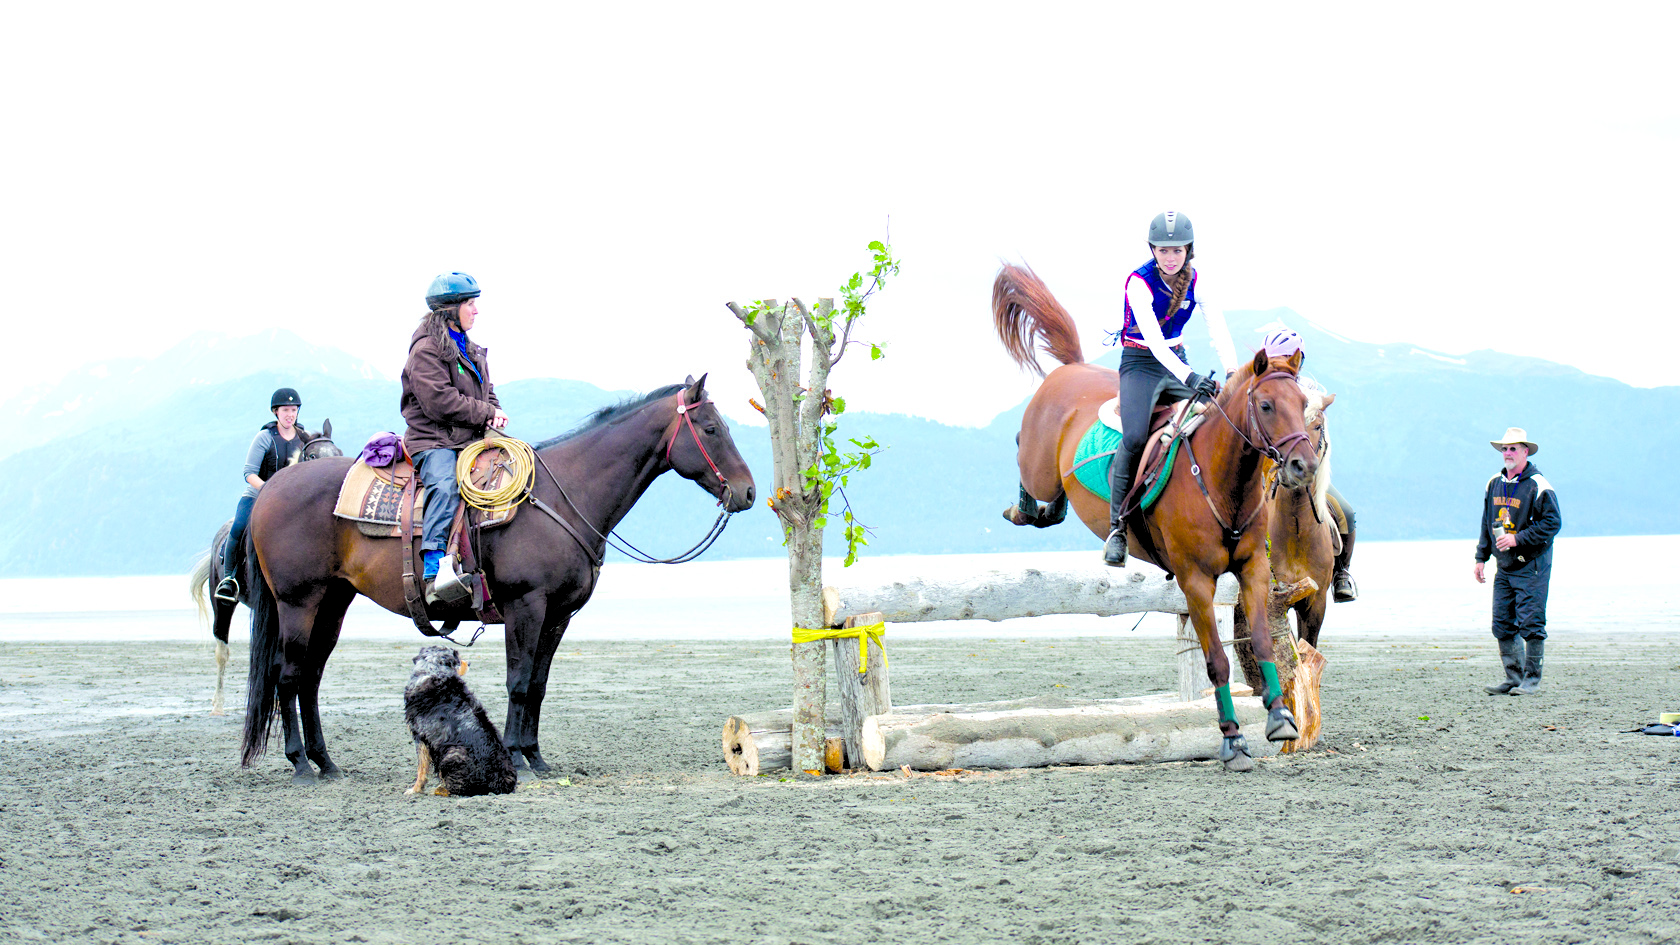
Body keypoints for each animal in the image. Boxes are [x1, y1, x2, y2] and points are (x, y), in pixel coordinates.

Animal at [403, 642, 514, 790]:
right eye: (457, 658)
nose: (469, 663)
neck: (433, 670)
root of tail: (501, 779)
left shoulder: (420, 736)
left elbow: (421, 768)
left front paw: (415, 790)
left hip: (451, 754)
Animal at [987, 262, 1317, 766]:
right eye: (1265, 406)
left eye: (1302, 405)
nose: (1304, 466)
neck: (1223, 482)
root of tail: (1071, 368)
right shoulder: (1194, 580)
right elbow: (1216, 661)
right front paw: (1232, 739)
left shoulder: (1253, 569)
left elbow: (1261, 640)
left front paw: (1280, 716)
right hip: (1039, 465)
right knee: (1026, 459)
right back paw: (1023, 509)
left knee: (1055, 506)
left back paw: (1050, 512)